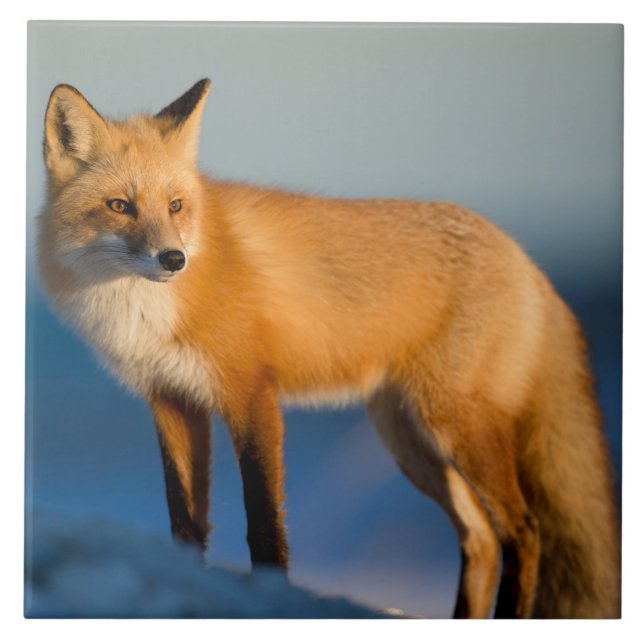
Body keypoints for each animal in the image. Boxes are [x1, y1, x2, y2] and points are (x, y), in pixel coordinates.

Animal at [37, 78, 620, 618]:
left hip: (456, 426)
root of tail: (524, 258)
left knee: (523, 530)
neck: (145, 310)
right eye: (120, 206)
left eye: (176, 206)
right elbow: (185, 522)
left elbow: (264, 524)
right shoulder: (172, 401)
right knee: (480, 539)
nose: (173, 259)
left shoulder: (251, 395)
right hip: (410, 441)